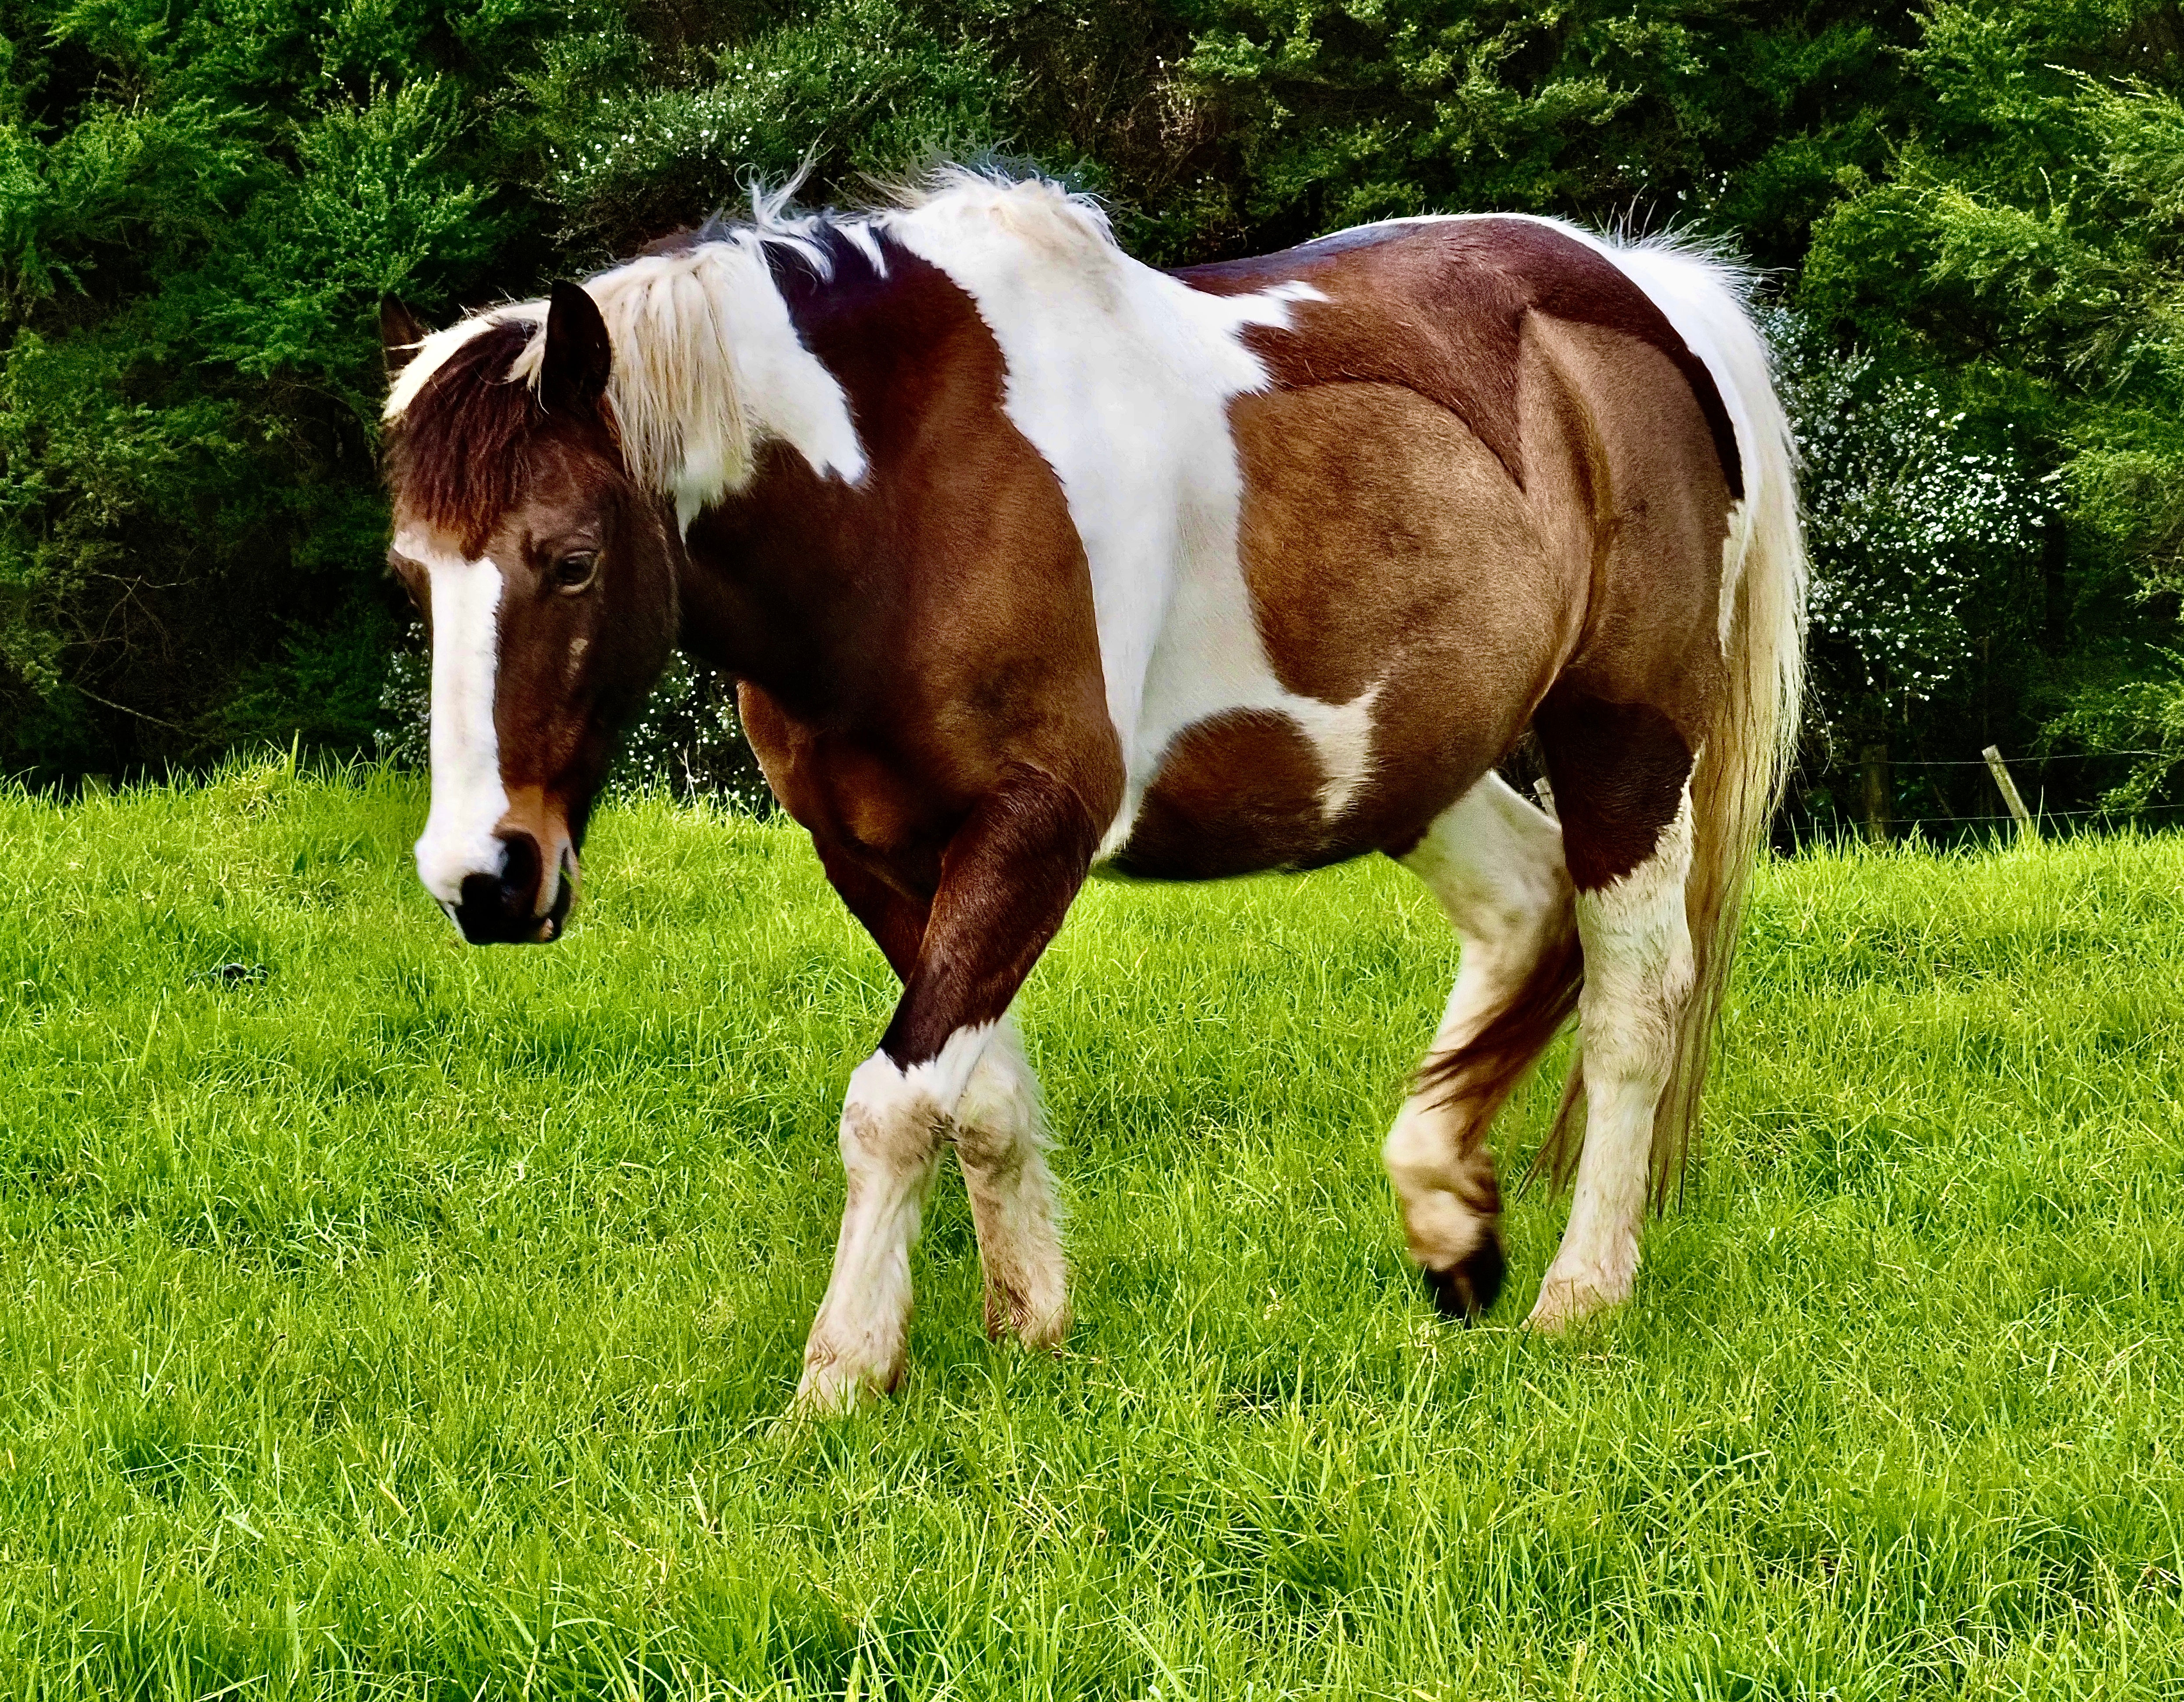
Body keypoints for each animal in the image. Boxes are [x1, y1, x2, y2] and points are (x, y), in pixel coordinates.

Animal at [379, 169, 1805, 1411]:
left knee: (1632, 999)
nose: (481, 878)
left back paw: (1581, 1292)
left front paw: (838, 1379)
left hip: (1623, 735)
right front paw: (1030, 1326)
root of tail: (1645, 292)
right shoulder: (878, 850)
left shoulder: (1034, 827)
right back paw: (1448, 1221)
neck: (905, 501)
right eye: (411, 572)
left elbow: (894, 1104)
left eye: (569, 558)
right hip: (1406, 761)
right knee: (1524, 910)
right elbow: (977, 1096)